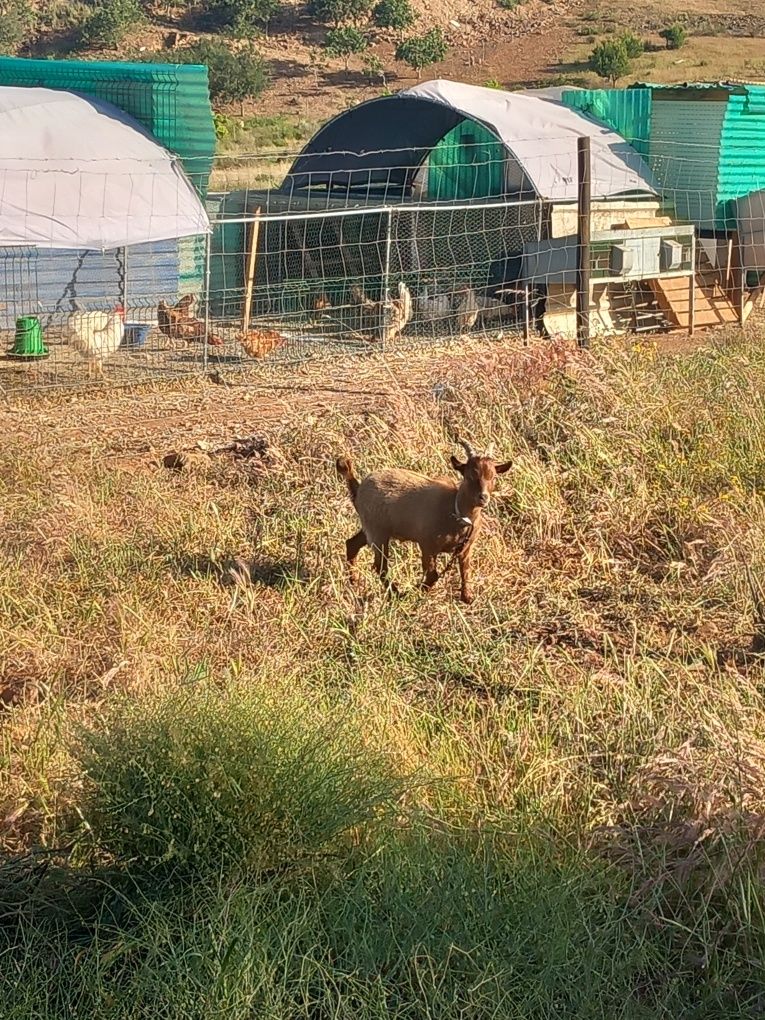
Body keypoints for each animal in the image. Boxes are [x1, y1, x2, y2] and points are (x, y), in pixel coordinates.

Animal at [334, 440, 510, 599]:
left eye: (493, 477)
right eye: (469, 476)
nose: (483, 497)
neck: (455, 511)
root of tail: (358, 490)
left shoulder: (466, 548)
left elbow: (465, 571)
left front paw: (467, 597)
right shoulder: (427, 545)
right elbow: (433, 575)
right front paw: (416, 591)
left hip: (372, 528)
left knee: (352, 544)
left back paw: (354, 582)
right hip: (377, 532)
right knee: (380, 566)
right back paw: (396, 594)